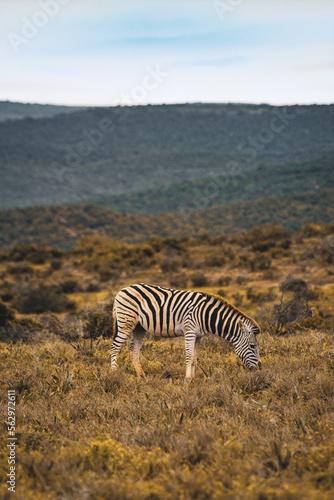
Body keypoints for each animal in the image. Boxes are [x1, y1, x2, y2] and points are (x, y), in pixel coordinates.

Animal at [111, 282, 262, 378]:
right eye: (252, 346)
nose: (260, 369)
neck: (206, 315)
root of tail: (122, 290)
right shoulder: (189, 331)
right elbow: (189, 357)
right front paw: (187, 380)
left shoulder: (199, 336)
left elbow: (194, 358)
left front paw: (193, 378)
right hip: (125, 322)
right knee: (115, 347)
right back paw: (113, 373)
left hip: (139, 327)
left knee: (133, 350)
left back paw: (141, 375)